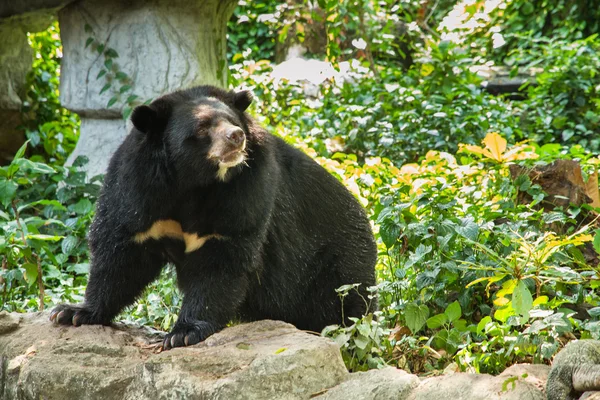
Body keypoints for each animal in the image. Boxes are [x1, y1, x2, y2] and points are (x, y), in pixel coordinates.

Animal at [52, 86, 380, 348]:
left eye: (232, 122)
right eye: (201, 128)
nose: (236, 137)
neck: (193, 183)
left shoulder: (246, 191)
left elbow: (222, 258)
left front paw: (182, 333)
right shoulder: (137, 190)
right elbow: (121, 253)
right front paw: (72, 312)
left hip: (336, 266)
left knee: (346, 308)